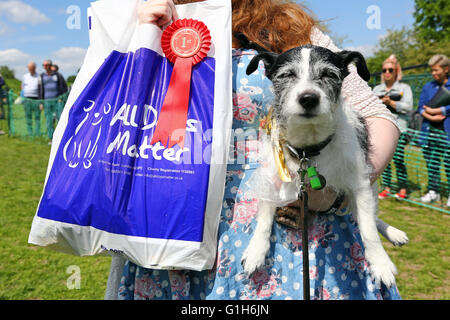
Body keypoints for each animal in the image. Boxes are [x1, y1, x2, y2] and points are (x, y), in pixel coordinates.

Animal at [243, 45, 408, 288]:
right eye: (287, 74)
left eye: (329, 74)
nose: (308, 98)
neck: (308, 151)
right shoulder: (271, 181)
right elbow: (264, 218)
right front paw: (255, 251)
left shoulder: (359, 186)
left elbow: (368, 229)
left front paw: (381, 263)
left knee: (370, 217)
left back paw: (393, 232)